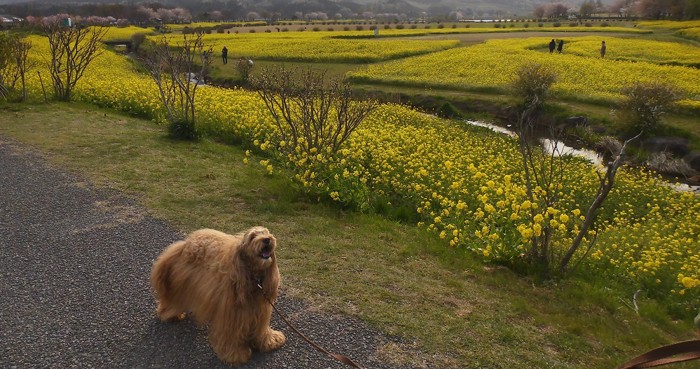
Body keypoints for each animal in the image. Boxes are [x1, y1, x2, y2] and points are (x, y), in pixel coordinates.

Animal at [152, 226, 286, 364]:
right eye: (252, 237)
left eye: (267, 233)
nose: (267, 239)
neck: (253, 278)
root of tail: (184, 244)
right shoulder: (231, 314)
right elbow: (230, 336)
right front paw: (235, 354)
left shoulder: (259, 309)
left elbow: (260, 329)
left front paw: (269, 340)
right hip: (180, 285)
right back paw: (170, 314)